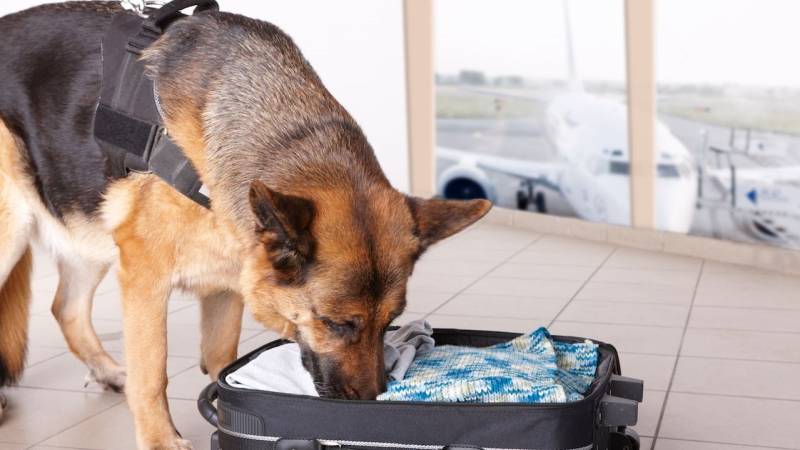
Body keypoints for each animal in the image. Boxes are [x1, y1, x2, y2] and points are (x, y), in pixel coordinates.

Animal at [0, 1, 488, 448]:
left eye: (390, 322)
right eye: (337, 325)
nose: (373, 402)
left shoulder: (229, 279)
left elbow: (223, 358)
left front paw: (230, 407)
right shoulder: (144, 277)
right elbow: (152, 372)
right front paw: (161, 439)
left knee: (65, 308)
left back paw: (106, 371)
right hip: (14, 234)